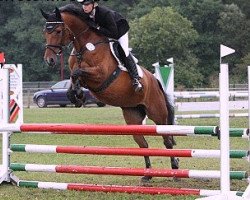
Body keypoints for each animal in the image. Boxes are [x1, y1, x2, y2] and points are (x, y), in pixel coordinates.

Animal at [40, 3, 178, 182]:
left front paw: (79, 95)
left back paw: (175, 170)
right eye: (45, 31)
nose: (49, 60)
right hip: (133, 115)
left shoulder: (100, 74)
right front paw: (77, 96)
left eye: (57, 31)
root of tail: (155, 81)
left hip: (157, 113)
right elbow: (73, 77)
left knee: (167, 140)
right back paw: (147, 175)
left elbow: (77, 73)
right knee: (143, 144)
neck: (84, 46)